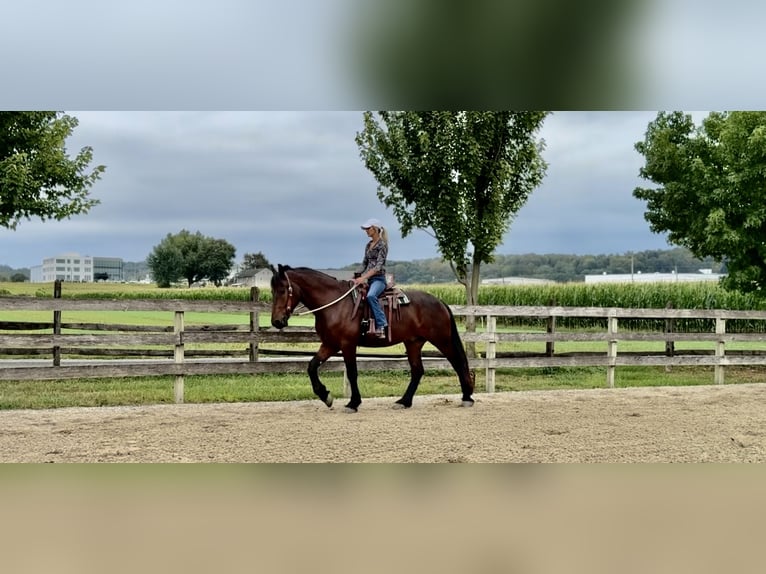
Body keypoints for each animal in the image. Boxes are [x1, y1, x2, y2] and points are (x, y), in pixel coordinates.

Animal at [270, 264, 475, 412]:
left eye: (283, 290)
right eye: (272, 291)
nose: (277, 321)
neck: (334, 304)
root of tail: (439, 302)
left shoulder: (347, 344)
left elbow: (352, 373)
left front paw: (353, 403)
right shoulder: (330, 344)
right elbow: (312, 366)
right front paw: (325, 396)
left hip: (442, 340)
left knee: (458, 363)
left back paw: (467, 397)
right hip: (413, 343)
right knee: (417, 371)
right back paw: (404, 401)